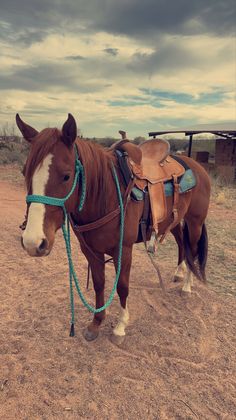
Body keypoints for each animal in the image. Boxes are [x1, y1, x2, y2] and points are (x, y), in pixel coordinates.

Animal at [17, 114, 211, 342]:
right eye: (25, 172)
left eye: (66, 176)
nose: (33, 242)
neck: (106, 195)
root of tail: (197, 167)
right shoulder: (91, 251)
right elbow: (99, 283)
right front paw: (96, 323)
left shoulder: (123, 251)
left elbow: (122, 286)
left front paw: (120, 327)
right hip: (173, 220)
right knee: (181, 242)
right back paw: (179, 273)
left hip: (195, 222)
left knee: (193, 249)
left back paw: (187, 286)